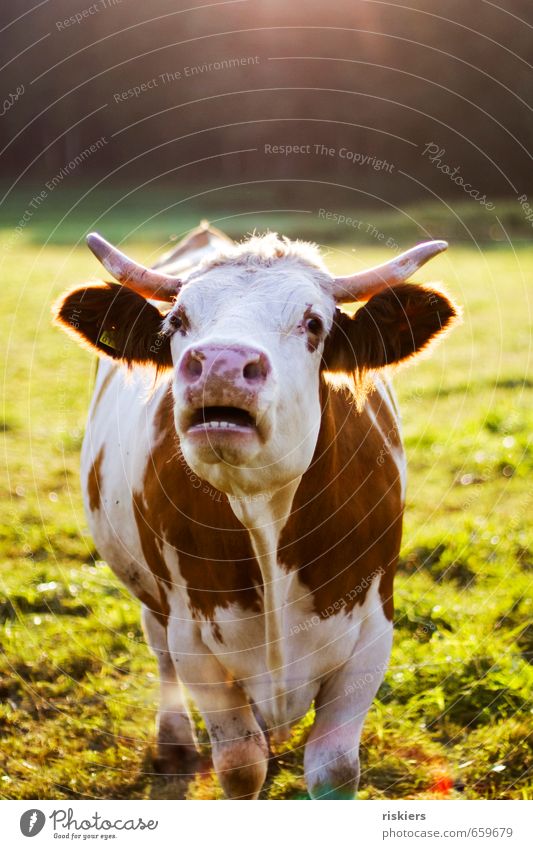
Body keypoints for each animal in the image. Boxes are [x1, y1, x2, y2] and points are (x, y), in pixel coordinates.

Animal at [54, 222, 458, 800]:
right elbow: (241, 766)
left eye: (313, 323)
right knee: (159, 650)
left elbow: (335, 771)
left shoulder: (371, 637)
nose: (220, 364)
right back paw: (174, 743)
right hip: (153, 599)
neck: (264, 514)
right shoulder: (195, 641)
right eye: (178, 321)